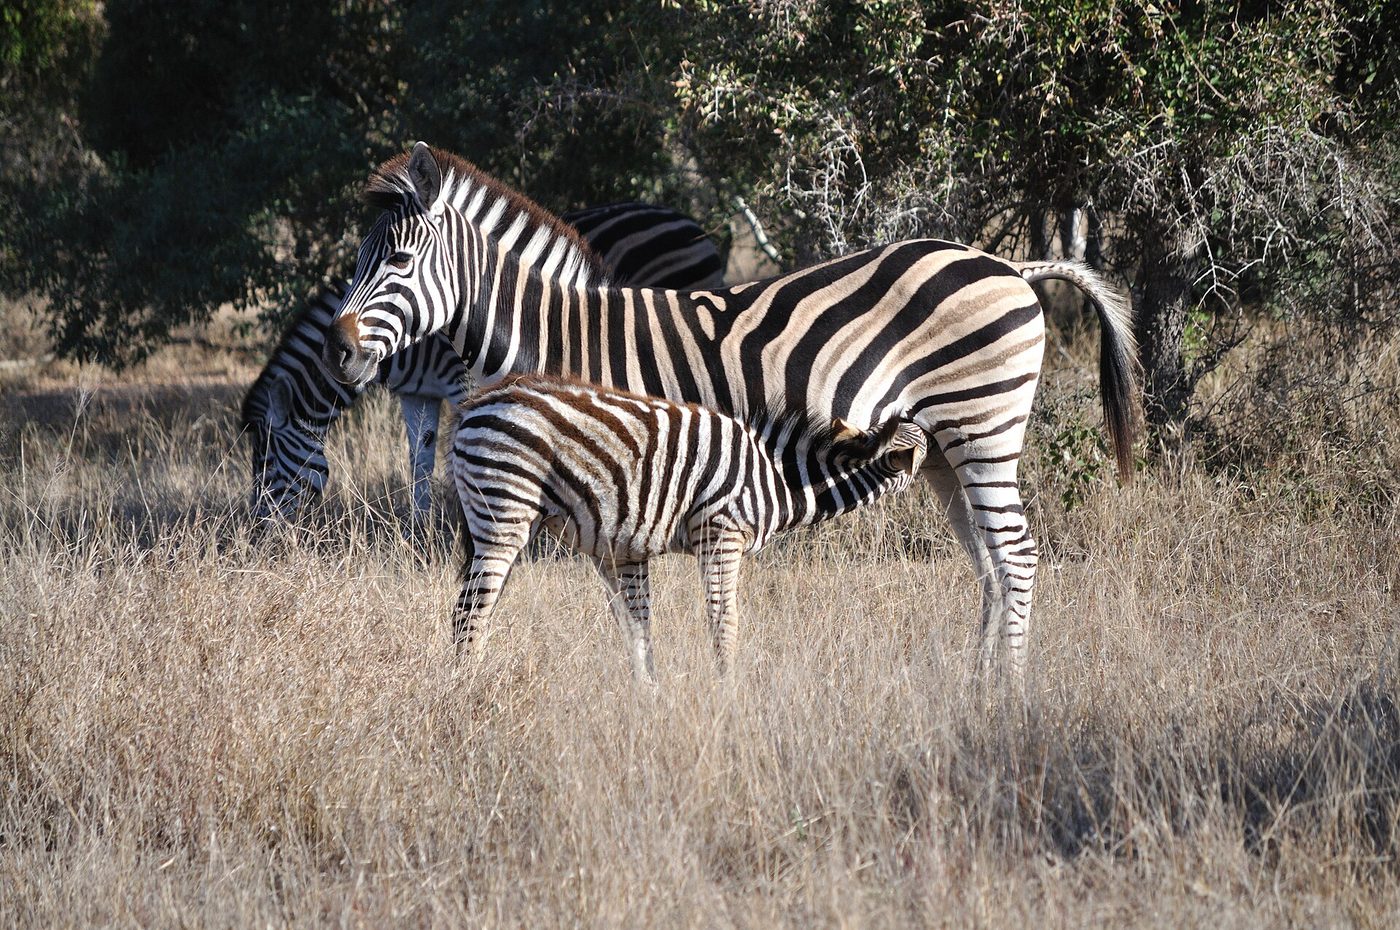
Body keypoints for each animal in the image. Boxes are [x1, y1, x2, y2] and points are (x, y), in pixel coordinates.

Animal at [241, 201, 726, 525]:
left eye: (268, 469)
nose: (257, 538)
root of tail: (696, 227)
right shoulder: (416, 392)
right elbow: (419, 461)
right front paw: (417, 531)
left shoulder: (463, 380)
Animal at [451, 375, 928, 681]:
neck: (780, 476)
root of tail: (474, 406)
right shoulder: (720, 533)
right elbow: (724, 621)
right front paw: (728, 692)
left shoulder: (623, 549)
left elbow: (639, 628)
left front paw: (649, 697)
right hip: (504, 513)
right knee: (469, 615)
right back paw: (468, 693)